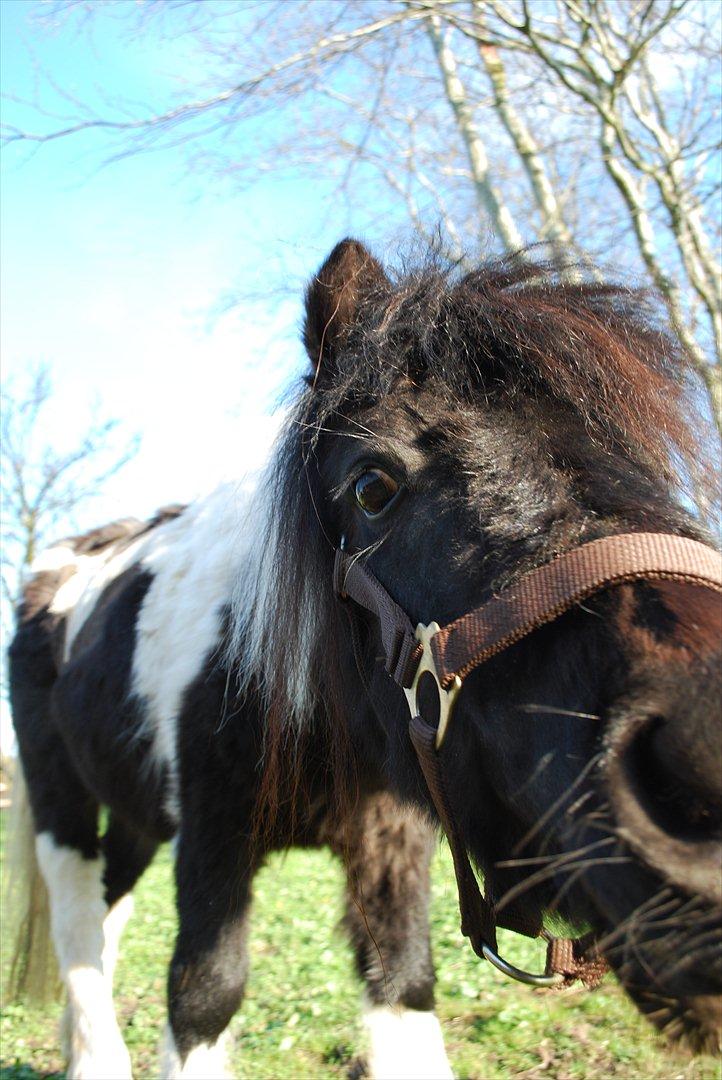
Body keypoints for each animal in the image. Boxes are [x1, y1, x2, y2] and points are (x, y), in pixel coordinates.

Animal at [7, 240, 720, 1075]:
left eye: (644, 463)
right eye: (372, 484)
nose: (700, 761)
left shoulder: (392, 842)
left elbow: (404, 982)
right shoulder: (212, 841)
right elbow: (204, 993)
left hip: (135, 811)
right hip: (61, 802)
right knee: (77, 924)